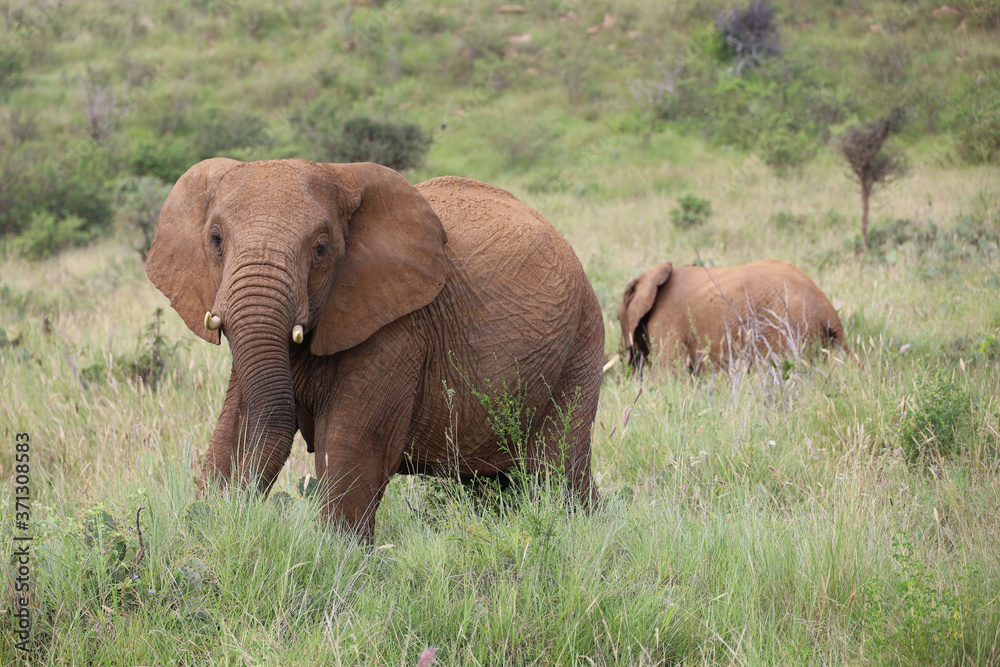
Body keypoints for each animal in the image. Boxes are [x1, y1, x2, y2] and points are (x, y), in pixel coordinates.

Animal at [146, 158, 600, 544]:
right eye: (215, 239)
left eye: (322, 248)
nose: (242, 518)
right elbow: (234, 428)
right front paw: (206, 529)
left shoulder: (398, 328)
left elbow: (353, 443)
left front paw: (336, 558)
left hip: (581, 342)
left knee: (556, 471)